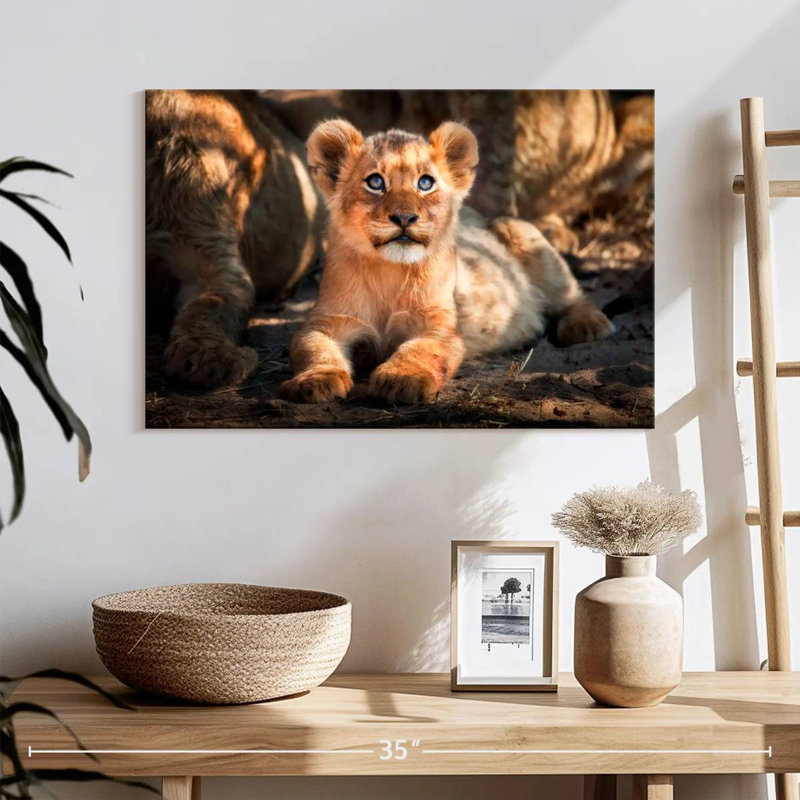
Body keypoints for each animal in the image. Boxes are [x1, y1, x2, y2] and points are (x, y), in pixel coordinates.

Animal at [279, 120, 613, 405]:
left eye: (425, 183)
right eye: (375, 182)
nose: (404, 217)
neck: (389, 272)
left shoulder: (439, 326)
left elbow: (419, 350)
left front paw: (402, 379)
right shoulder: (328, 320)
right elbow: (313, 348)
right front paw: (315, 381)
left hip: (523, 234)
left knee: (573, 295)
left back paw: (586, 326)